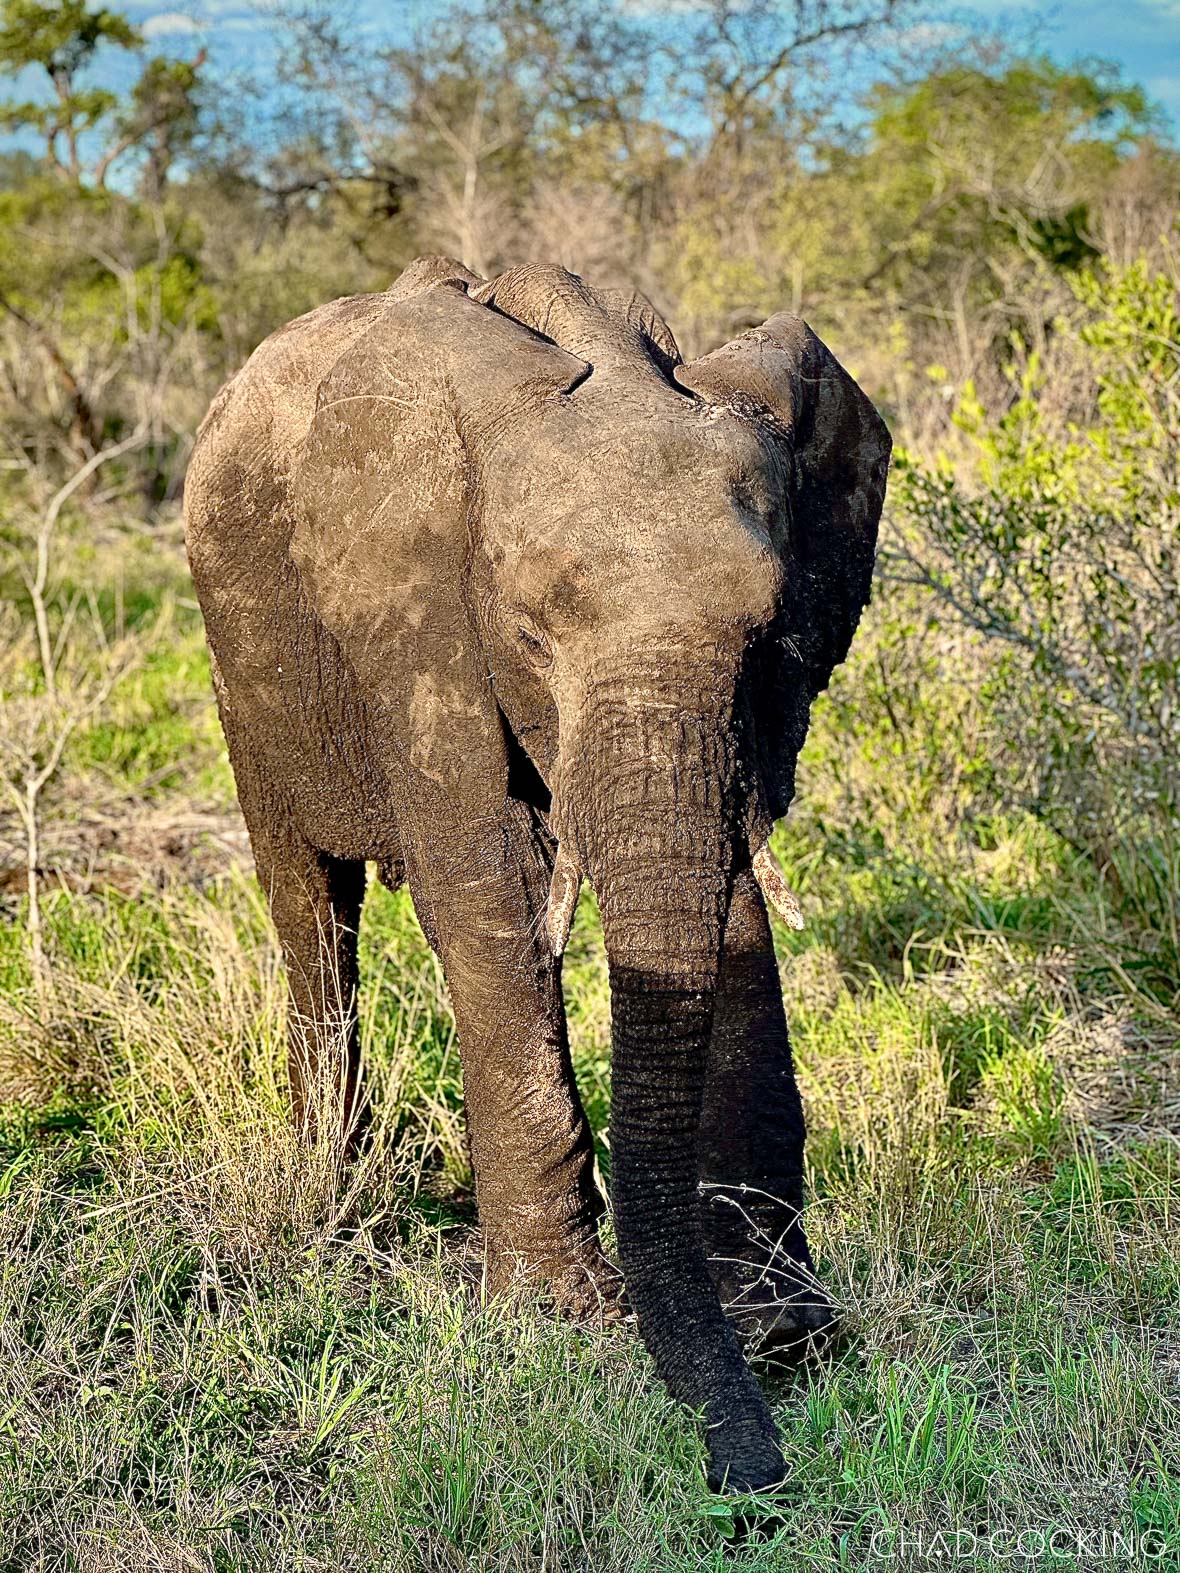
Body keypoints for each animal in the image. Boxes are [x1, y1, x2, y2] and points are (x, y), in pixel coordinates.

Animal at [184, 255, 890, 1493]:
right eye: (528, 634)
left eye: (771, 634)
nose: (756, 1476)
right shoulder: (413, 617)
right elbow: (491, 891)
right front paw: (561, 1318)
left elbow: (730, 897)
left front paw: (782, 1328)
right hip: (242, 660)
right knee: (310, 903)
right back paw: (334, 1202)